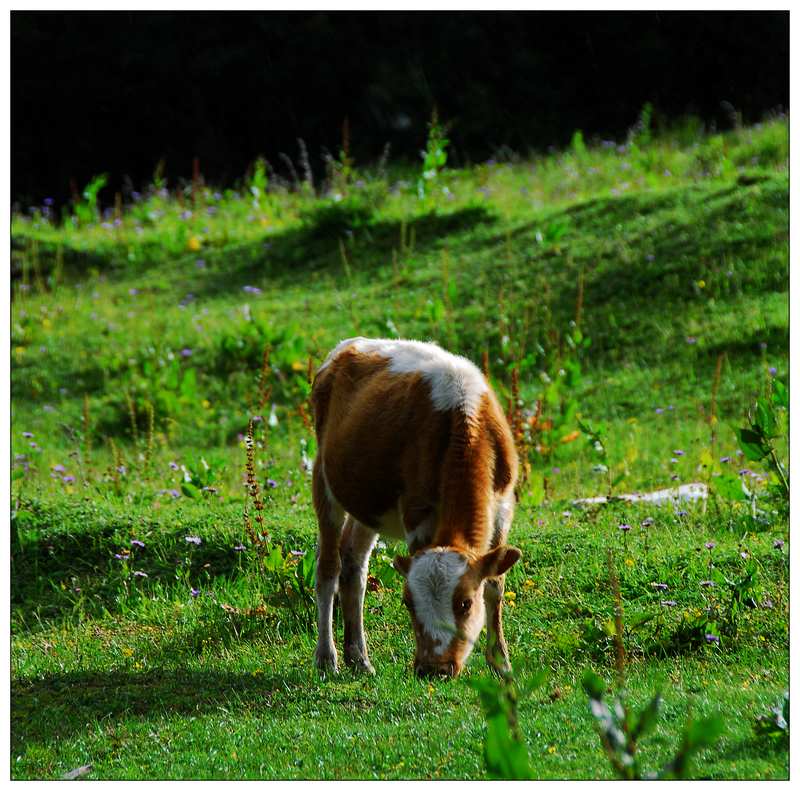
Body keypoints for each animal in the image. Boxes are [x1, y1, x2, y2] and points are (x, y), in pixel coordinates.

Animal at [310, 338, 520, 676]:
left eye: (465, 603)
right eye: (408, 601)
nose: (434, 669)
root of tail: (351, 344)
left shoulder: (502, 508)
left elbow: (494, 585)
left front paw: (501, 663)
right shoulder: (417, 514)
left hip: (369, 503)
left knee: (354, 563)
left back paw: (359, 657)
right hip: (324, 479)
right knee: (328, 567)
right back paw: (327, 657)